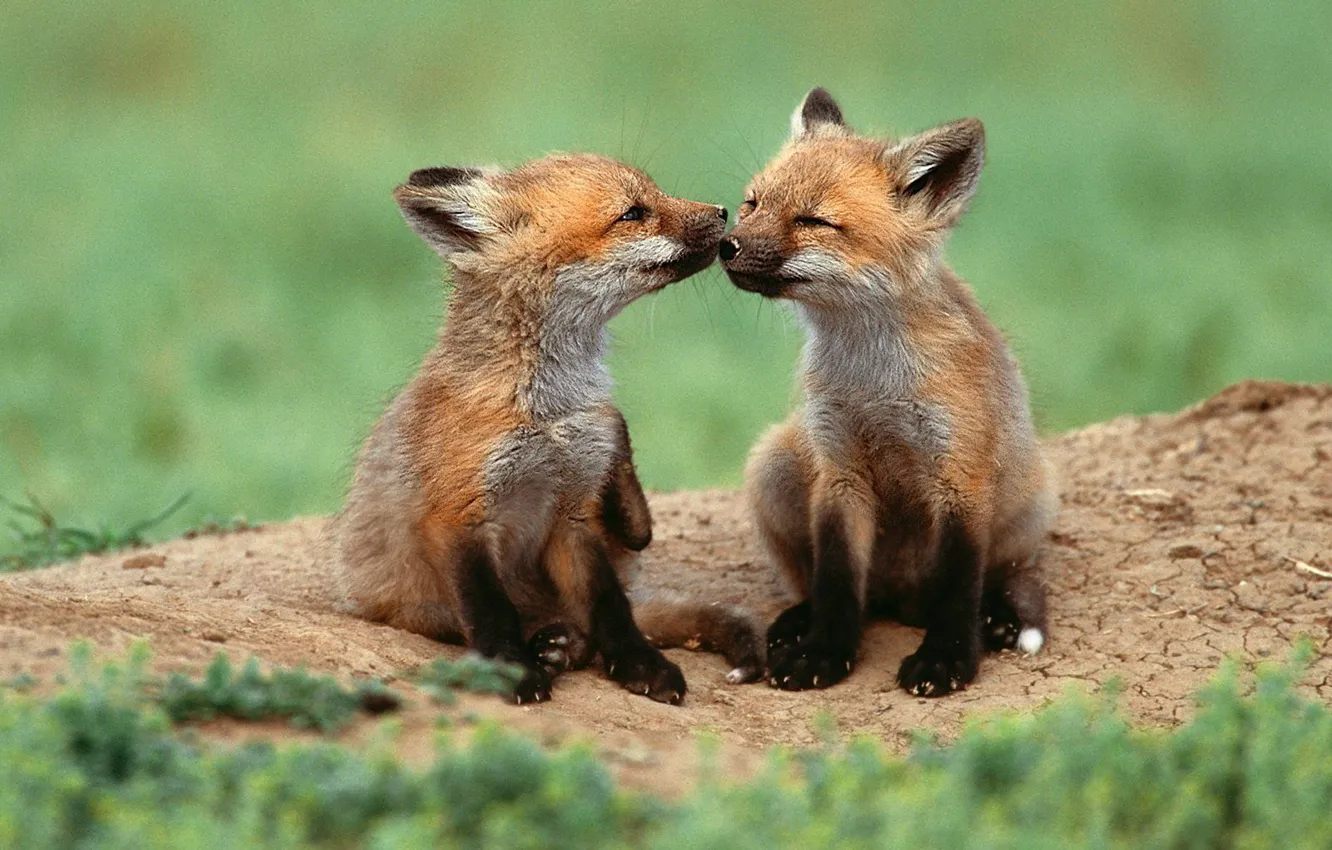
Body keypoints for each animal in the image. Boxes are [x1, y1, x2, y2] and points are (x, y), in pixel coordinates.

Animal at [335, 153, 764, 705]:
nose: (722, 211)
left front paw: (640, 665)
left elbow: (610, 607)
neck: (549, 413)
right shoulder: (457, 517)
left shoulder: (573, 512)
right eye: (632, 213)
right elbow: (491, 613)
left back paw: (565, 643)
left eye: (653, 194)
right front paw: (512, 672)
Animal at [718, 88, 1057, 697]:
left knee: (997, 577)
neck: (872, 380)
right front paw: (824, 652)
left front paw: (946, 661)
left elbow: (957, 588)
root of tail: (900, 599)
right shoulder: (838, 466)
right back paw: (799, 620)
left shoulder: (961, 476)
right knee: (842, 592)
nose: (725, 245)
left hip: (1029, 500)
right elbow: (835, 581)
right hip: (774, 462)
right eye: (752, 204)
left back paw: (994, 616)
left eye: (813, 221)